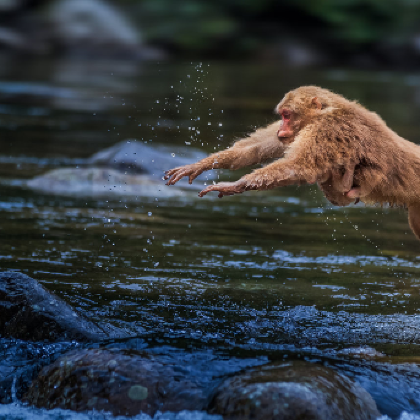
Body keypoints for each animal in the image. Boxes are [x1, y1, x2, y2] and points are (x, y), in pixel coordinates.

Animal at [165, 86, 420, 240]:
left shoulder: (327, 129)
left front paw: (234, 186)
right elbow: (251, 150)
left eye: (287, 115)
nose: (281, 127)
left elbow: (299, 166)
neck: (325, 112)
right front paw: (199, 165)